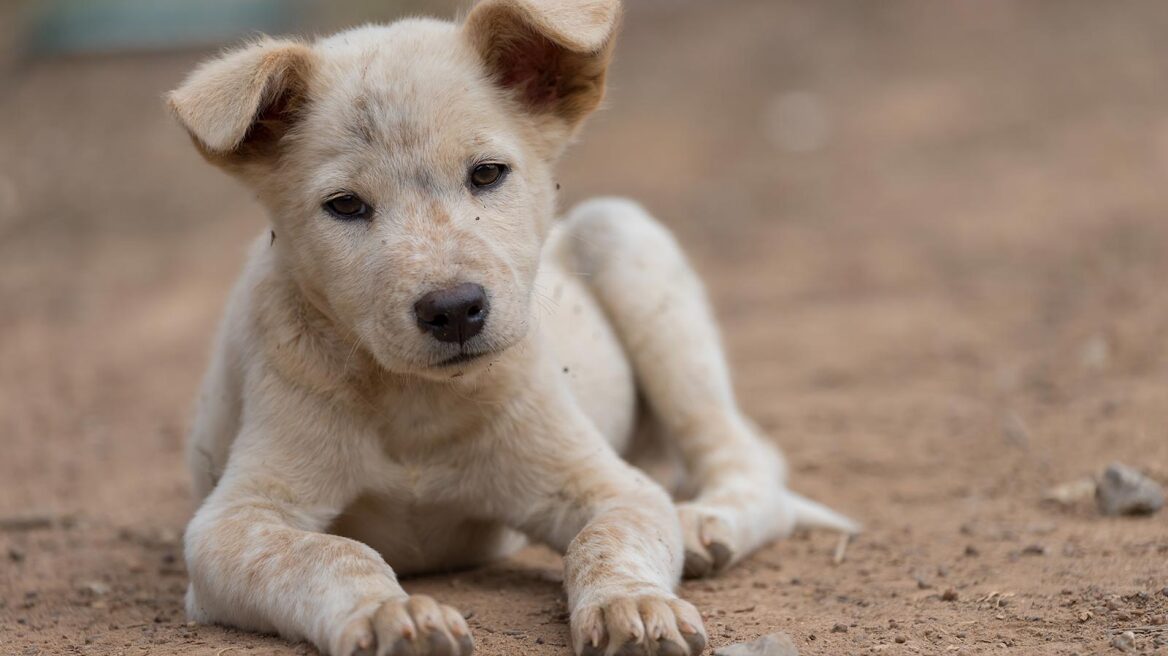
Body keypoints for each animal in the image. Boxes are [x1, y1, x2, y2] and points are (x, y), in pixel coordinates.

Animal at [169, 1, 854, 653]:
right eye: (344, 206)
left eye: (487, 173)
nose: (453, 309)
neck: (417, 403)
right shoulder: (233, 522)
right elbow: (329, 553)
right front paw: (392, 615)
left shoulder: (607, 485)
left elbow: (607, 538)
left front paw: (634, 605)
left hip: (627, 240)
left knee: (747, 458)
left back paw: (704, 523)